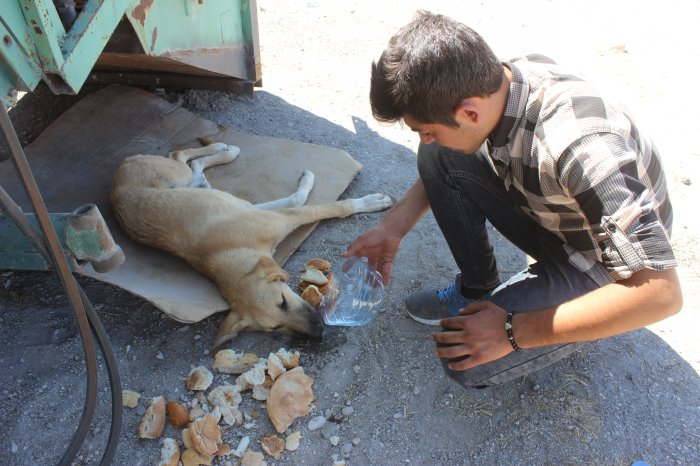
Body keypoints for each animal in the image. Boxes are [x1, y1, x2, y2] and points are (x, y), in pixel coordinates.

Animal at [112, 144, 392, 348]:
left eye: (283, 302)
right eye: (275, 328)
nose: (318, 332)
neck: (230, 252)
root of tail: (116, 177)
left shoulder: (276, 216)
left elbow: (325, 205)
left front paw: (366, 202)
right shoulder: (270, 215)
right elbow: (298, 200)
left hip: (178, 175)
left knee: (181, 156)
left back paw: (223, 149)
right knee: (191, 165)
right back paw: (223, 152)